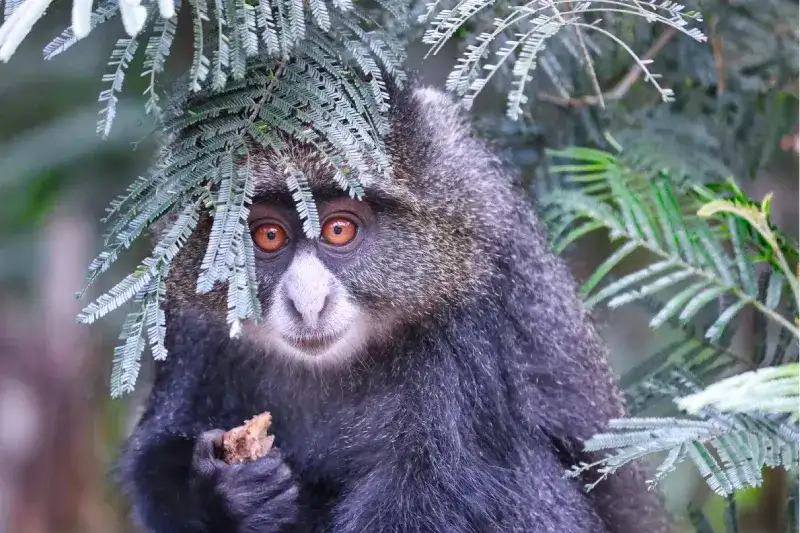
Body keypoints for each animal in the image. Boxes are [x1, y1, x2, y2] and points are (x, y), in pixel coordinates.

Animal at [118, 82, 672, 533]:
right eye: (268, 236)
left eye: (340, 229)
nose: (307, 304)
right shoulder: (187, 320)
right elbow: (154, 453)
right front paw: (225, 490)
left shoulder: (467, 316)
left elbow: (431, 492)